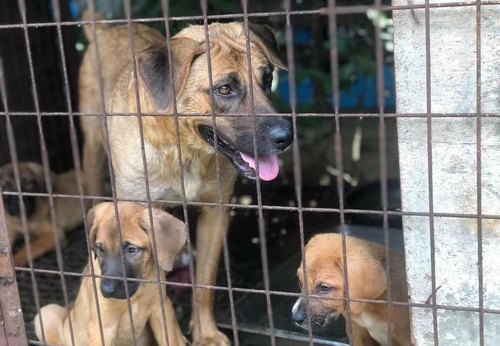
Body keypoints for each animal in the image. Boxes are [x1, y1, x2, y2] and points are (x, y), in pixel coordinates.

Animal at [34, 201, 188, 346]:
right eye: (100, 249)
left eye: (132, 250)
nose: (106, 290)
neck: (135, 295)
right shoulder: (102, 327)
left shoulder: (161, 309)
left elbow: (170, 340)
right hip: (47, 313)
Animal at [79, 14, 292, 346]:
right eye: (225, 89)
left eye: (267, 79)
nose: (286, 137)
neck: (183, 150)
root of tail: (106, 27)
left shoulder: (216, 214)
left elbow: (204, 284)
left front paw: (206, 334)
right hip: (90, 149)